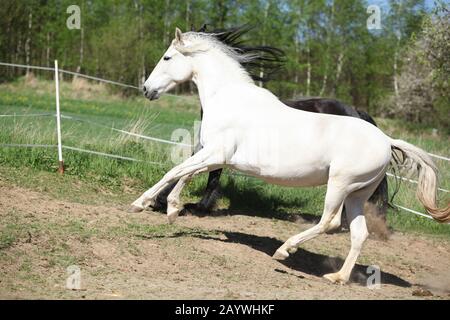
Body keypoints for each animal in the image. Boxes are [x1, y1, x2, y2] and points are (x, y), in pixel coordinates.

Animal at [128, 26, 448, 282]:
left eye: (167, 58)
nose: (146, 89)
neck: (229, 98)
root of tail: (386, 140)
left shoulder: (216, 153)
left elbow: (176, 171)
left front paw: (141, 204)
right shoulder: (216, 156)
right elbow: (186, 173)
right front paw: (172, 209)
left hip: (340, 184)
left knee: (330, 222)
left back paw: (284, 251)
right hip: (357, 193)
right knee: (359, 233)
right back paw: (337, 277)